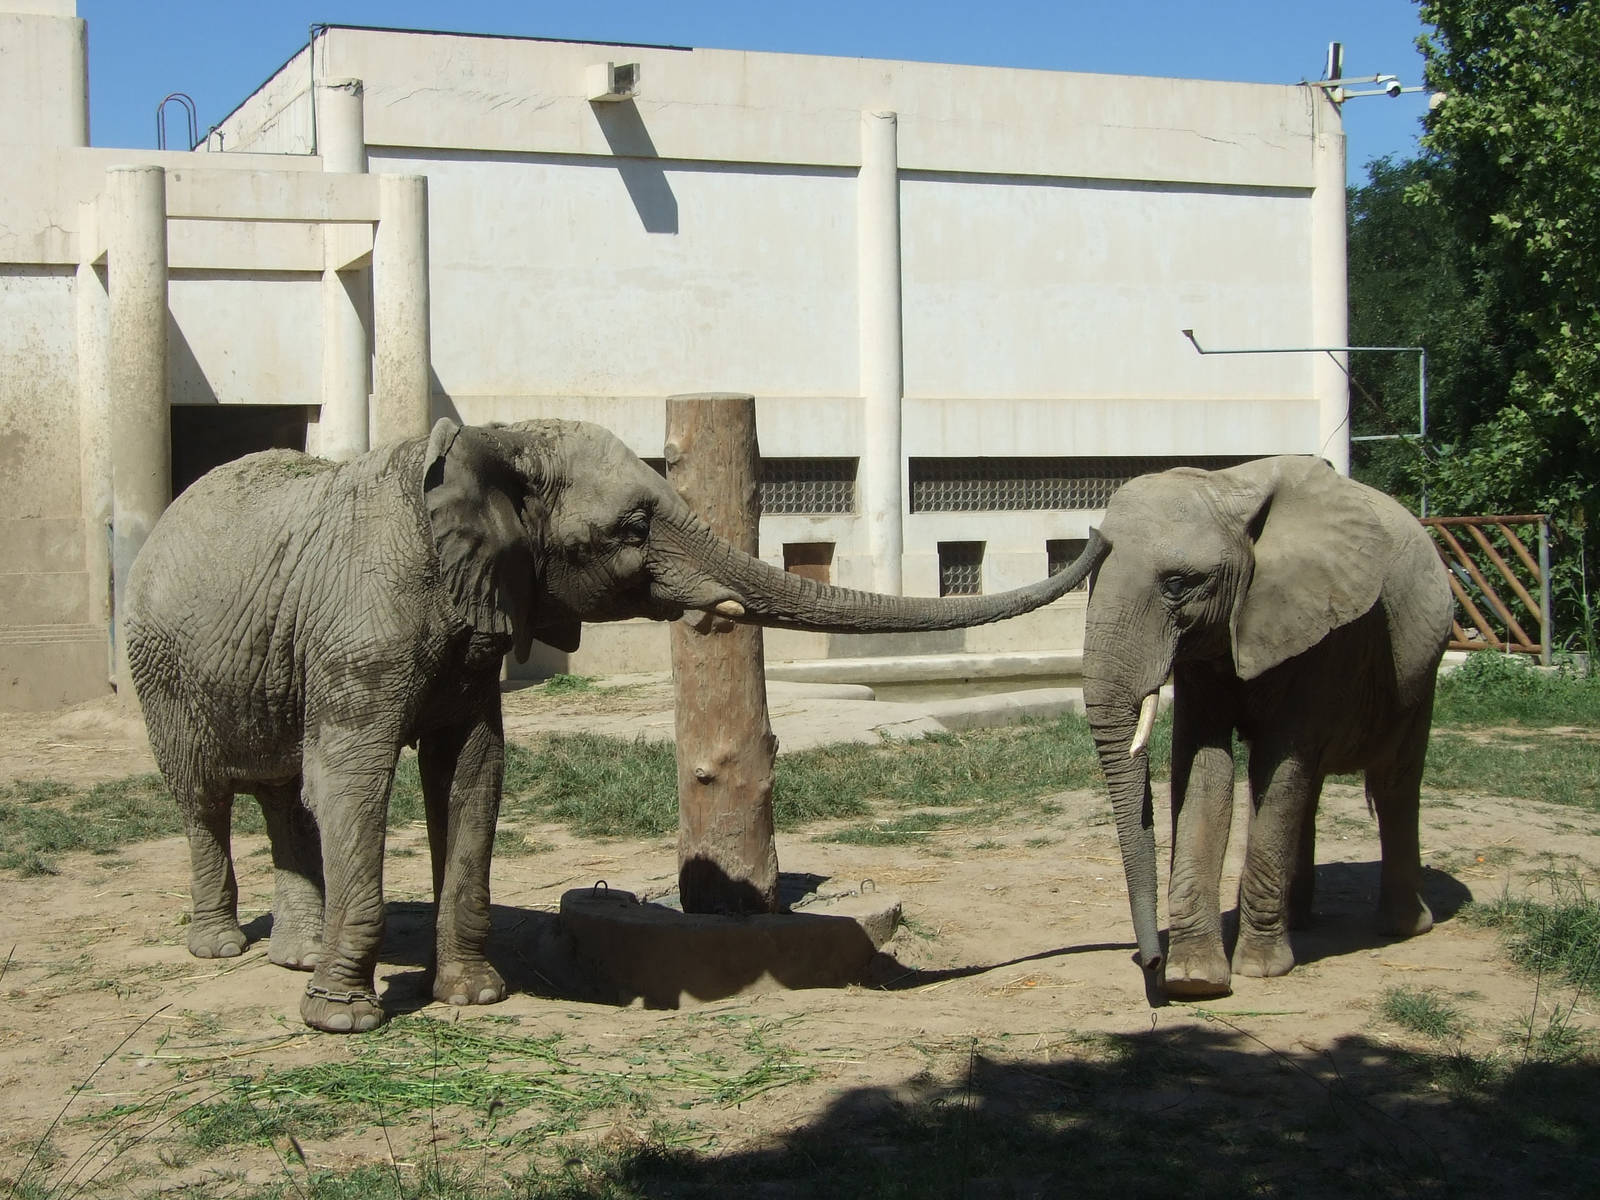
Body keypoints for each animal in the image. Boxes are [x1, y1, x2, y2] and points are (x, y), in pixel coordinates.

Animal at [126, 416, 1107, 1032]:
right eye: (634, 525)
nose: (1098, 535)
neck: (493, 437)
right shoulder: (362, 622)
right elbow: (355, 777)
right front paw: (343, 1022)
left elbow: (474, 772)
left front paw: (476, 999)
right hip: (160, 670)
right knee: (206, 797)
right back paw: (220, 947)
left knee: (281, 795)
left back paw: (290, 957)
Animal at [1081, 455, 1452, 999]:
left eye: (1177, 585)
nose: (1151, 963)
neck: (1227, 488)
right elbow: (1205, 768)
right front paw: (1195, 979)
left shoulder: (1322, 632)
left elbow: (1280, 760)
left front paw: (1258, 970)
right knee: (1307, 788)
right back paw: (1297, 922)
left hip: (1422, 670)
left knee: (1391, 783)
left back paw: (1403, 927)